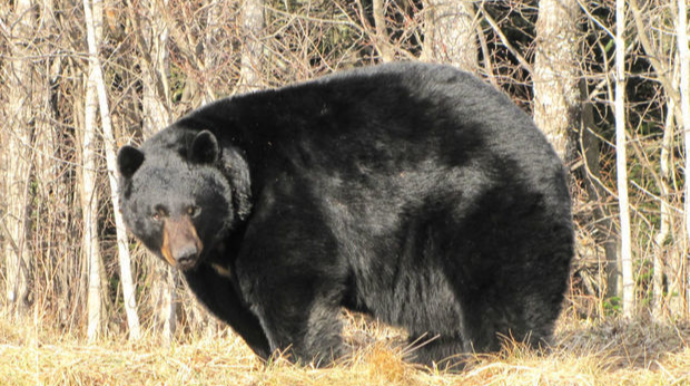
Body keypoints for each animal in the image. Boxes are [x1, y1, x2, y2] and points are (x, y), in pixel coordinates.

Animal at [117, 61, 568, 366]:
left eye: (193, 207)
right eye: (157, 212)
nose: (184, 254)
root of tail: (548, 153)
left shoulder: (287, 200)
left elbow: (294, 281)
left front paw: (304, 358)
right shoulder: (216, 265)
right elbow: (235, 308)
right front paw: (269, 355)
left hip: (487, 206)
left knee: (504, 295)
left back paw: (504, 354)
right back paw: (438, 358)